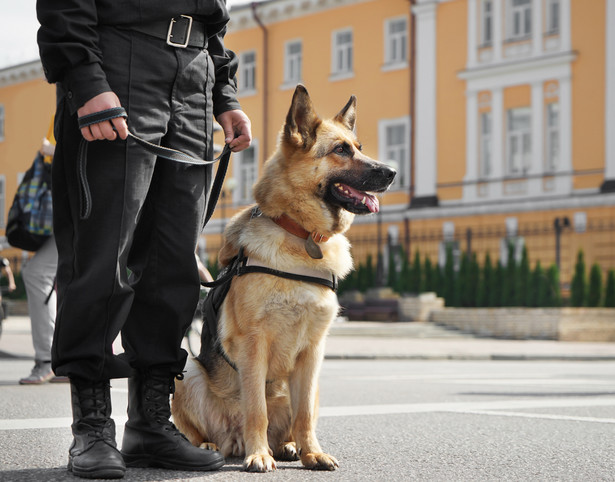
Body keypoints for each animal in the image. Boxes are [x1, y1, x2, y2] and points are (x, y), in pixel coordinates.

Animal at [171, 85, 398, 470]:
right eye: (340, 150)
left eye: (359, 147)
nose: (393, 171)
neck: (301, 236)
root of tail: (231, 441)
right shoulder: (254, 345)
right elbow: (256, 409)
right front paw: (259, 455)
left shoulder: (313, 352)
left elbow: (304, 414)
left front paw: (312, 453)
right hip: (186, 369)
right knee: (201, 428)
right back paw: (210, 446)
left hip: (316, 384)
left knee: (293, 419)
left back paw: (289, 446)